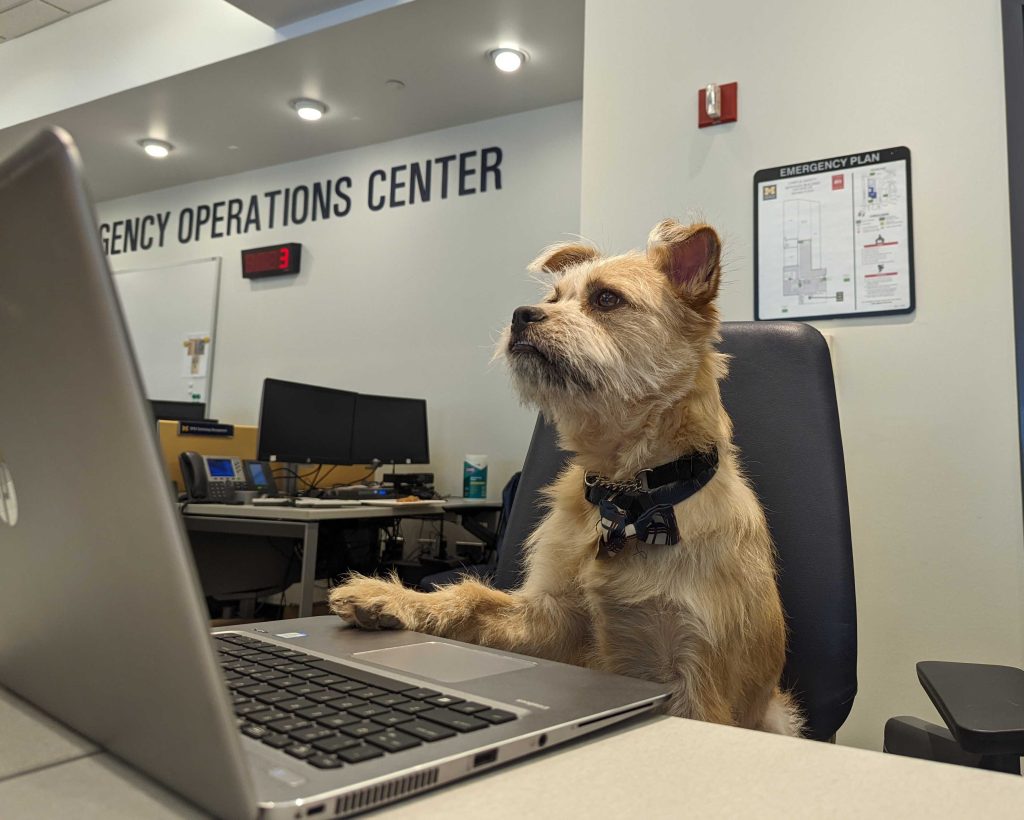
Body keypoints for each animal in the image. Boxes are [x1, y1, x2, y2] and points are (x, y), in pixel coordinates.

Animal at [331, 219, 802, 737]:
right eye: (554, 297)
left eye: (607, 299)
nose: (521, 314)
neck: (627, 497)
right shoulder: (552, 619)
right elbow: (475, 597)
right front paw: (391, 598)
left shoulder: (698, 674)